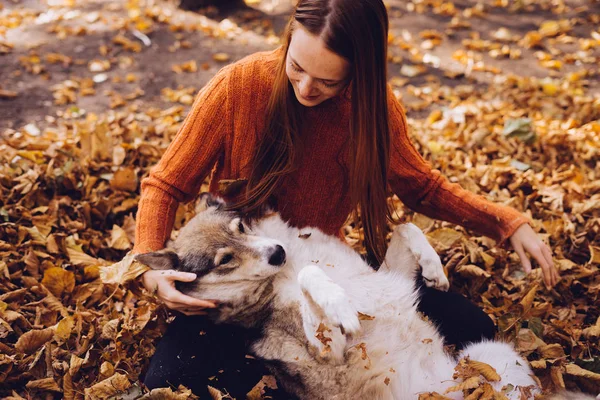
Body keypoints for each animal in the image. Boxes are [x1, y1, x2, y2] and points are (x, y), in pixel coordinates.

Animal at [137, 192, 544, 398]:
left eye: (240, 227)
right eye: (224, 260)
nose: (278, 253)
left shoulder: (387, 277)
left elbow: (406, 226)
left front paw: (434, 268)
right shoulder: (328, 349)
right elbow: (311, 275)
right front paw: (340, 305)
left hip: (492, 356)